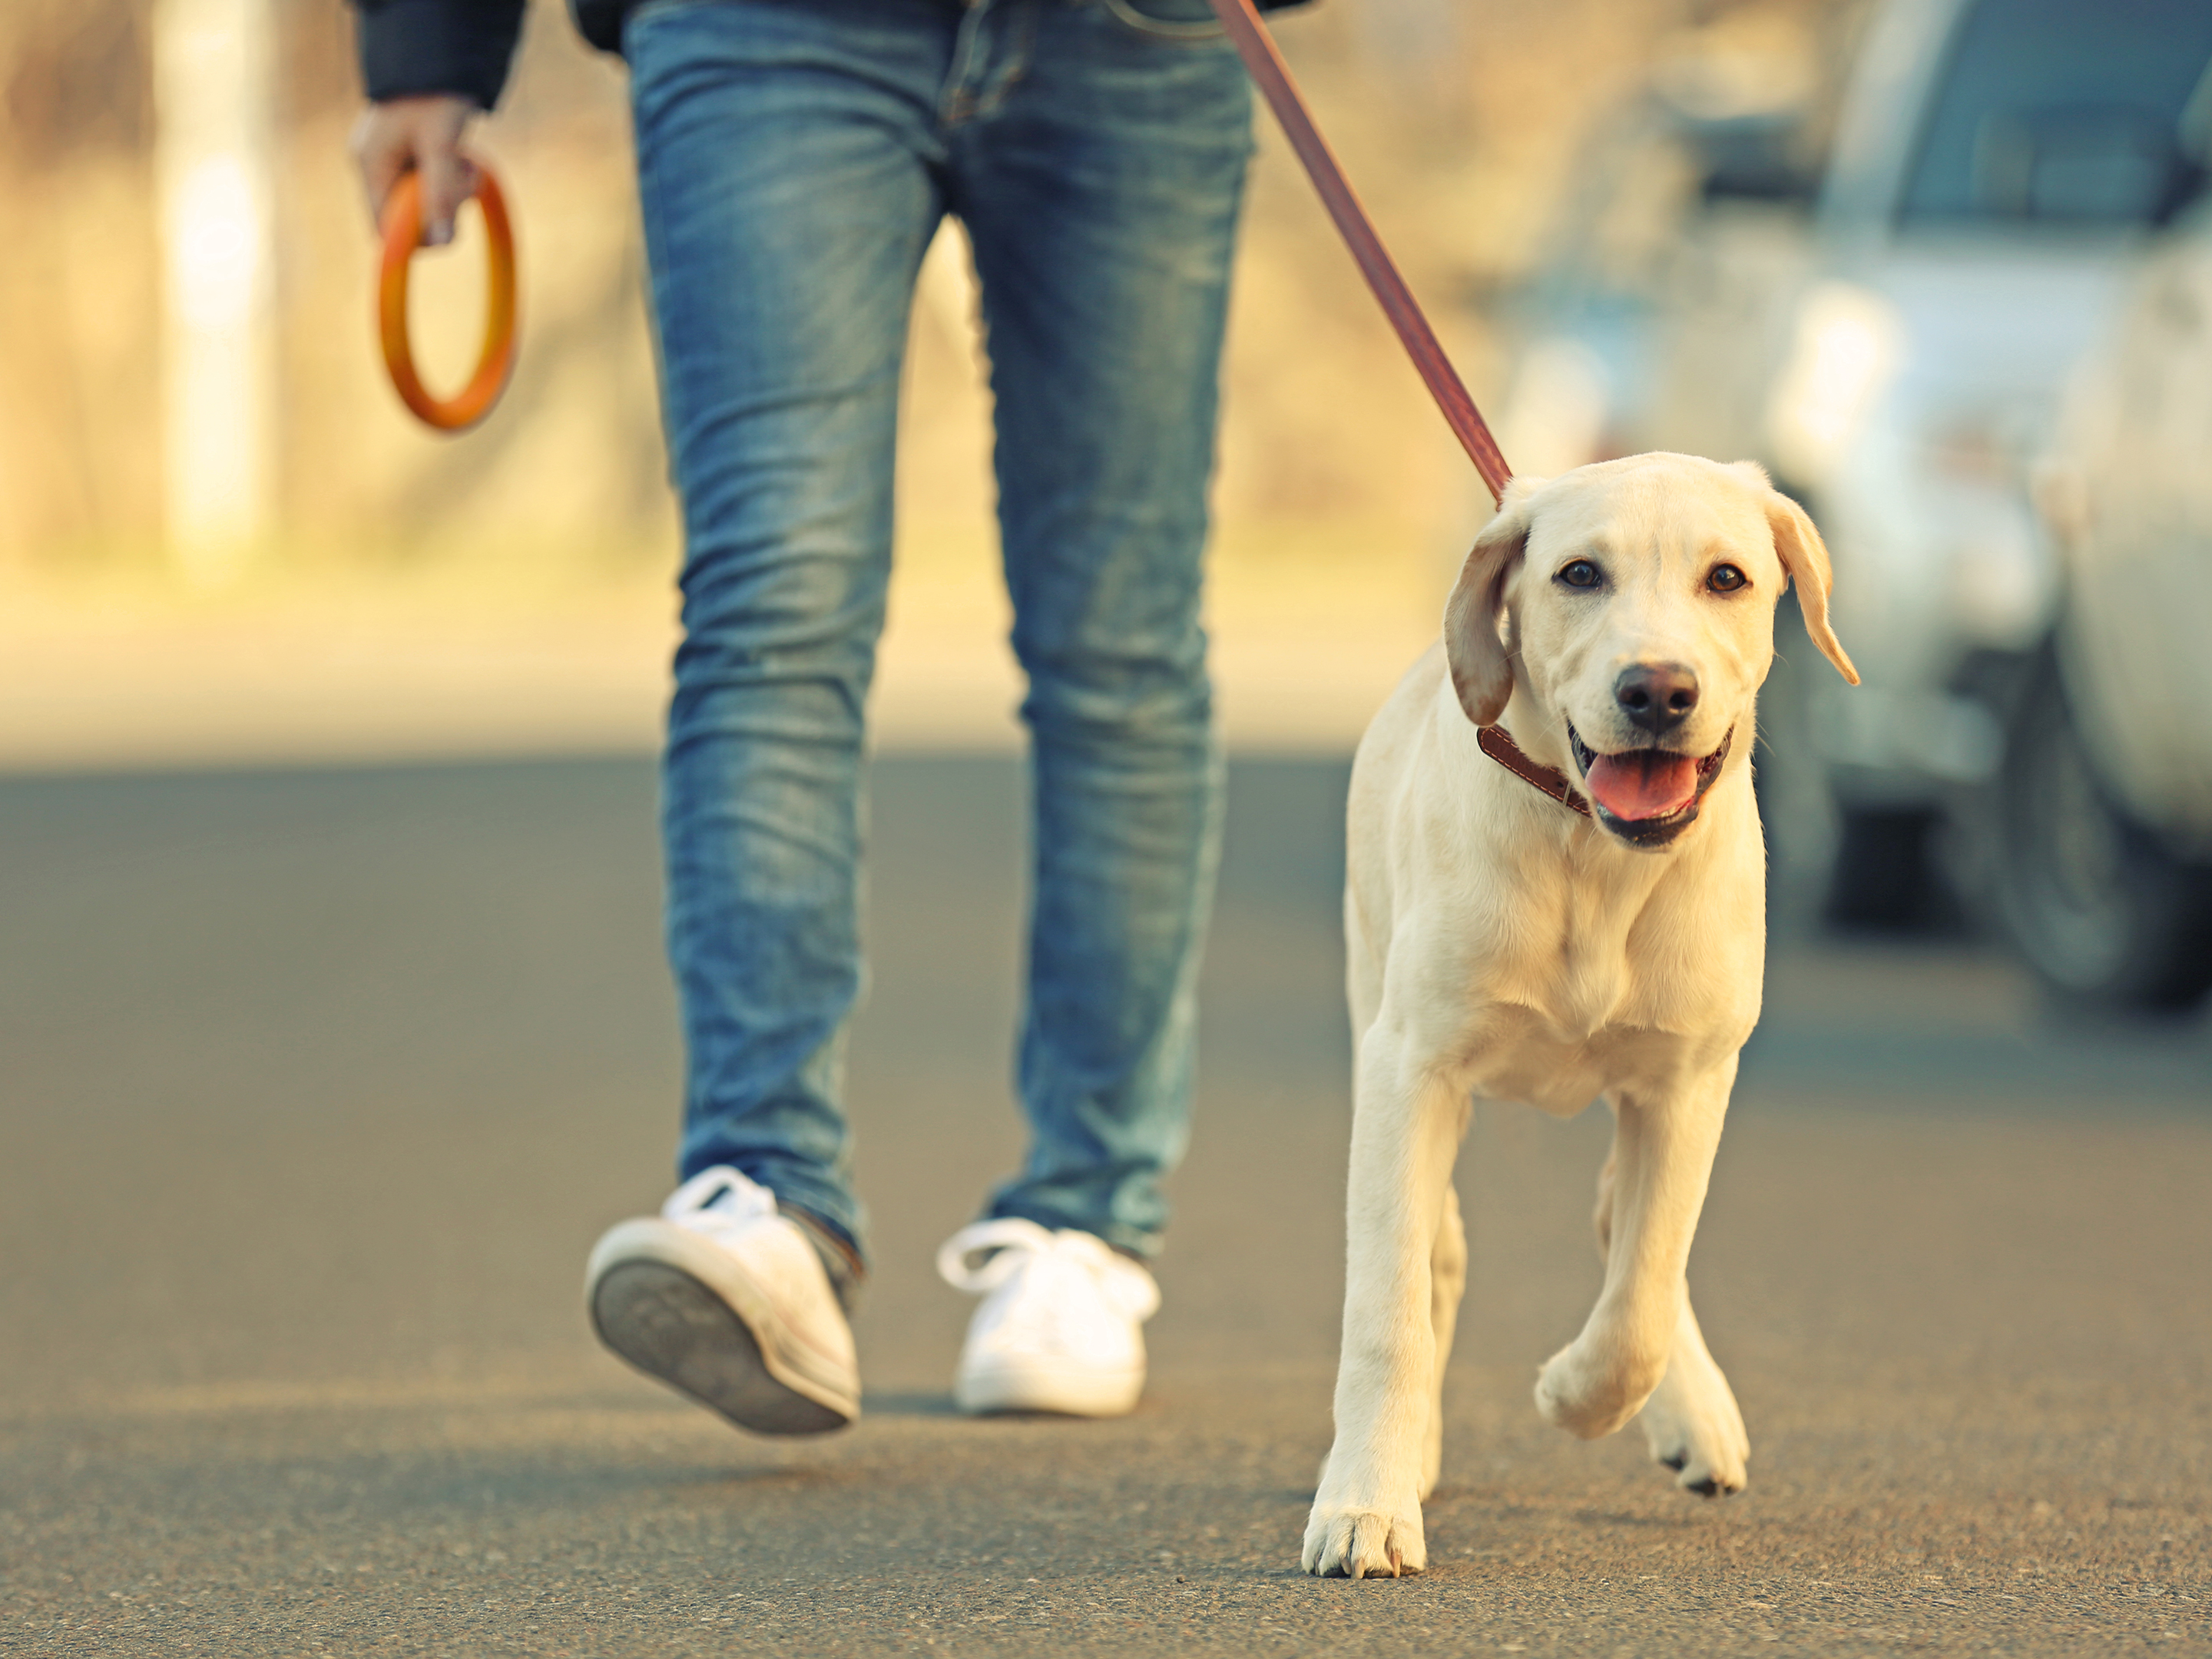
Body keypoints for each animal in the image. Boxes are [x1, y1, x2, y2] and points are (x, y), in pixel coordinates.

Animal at [1300, 455, 1858, 1584]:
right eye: (1579, 574)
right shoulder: (1410, 1069)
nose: (1657, 690)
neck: (1595, 861)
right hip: (1378, 995)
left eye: (1727, 577)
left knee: (1631, 1228)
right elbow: (1387, 1307)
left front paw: (1576, 1393)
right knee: (1439, 1250)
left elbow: (1643, 1289)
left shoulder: (1688, 1083)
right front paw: (1367, 1502)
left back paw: (1693, 1414)